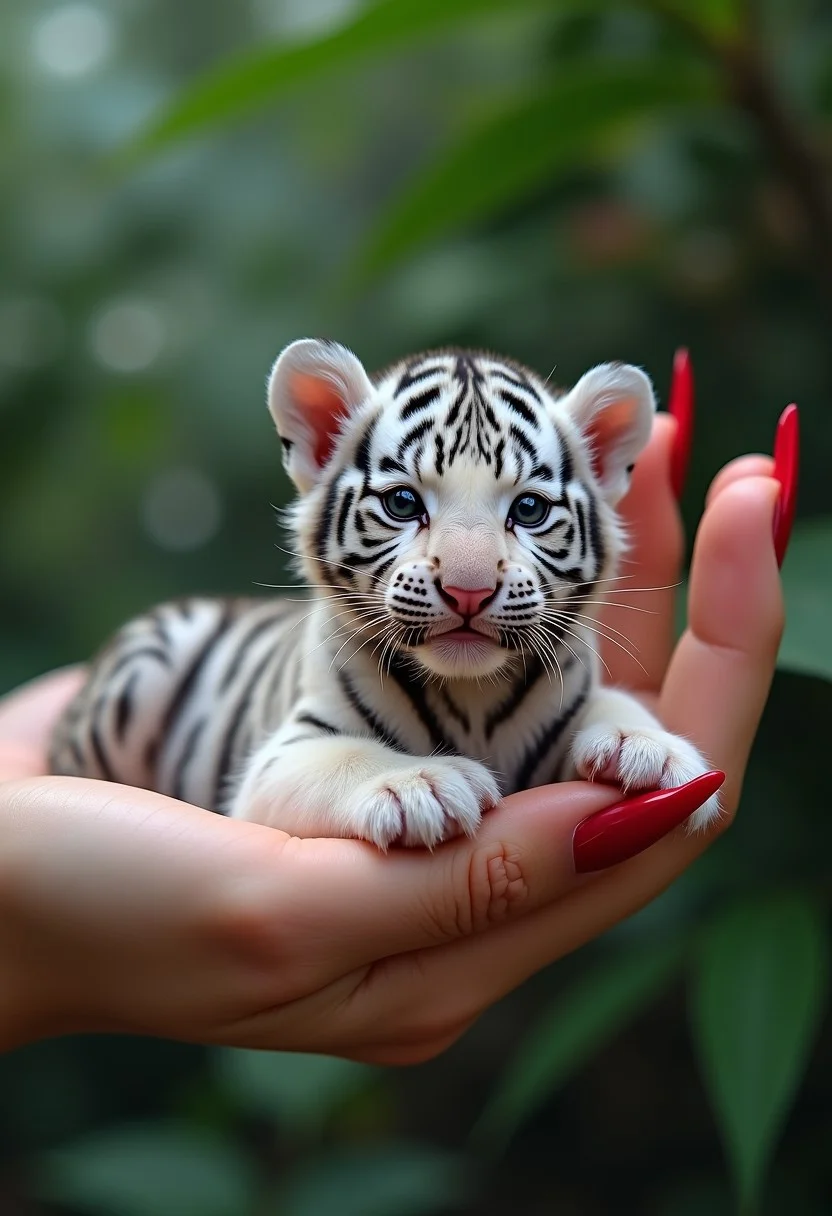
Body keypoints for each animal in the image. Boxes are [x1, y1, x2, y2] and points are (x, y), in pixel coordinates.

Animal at [50, 338, 719, 848]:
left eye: (528, 510)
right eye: (403, 503)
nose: (469, 590)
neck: (471, 698)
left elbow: (613, 706)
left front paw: (653, 751)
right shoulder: (280, 759)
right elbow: (348, 757)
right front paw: (421, 784)